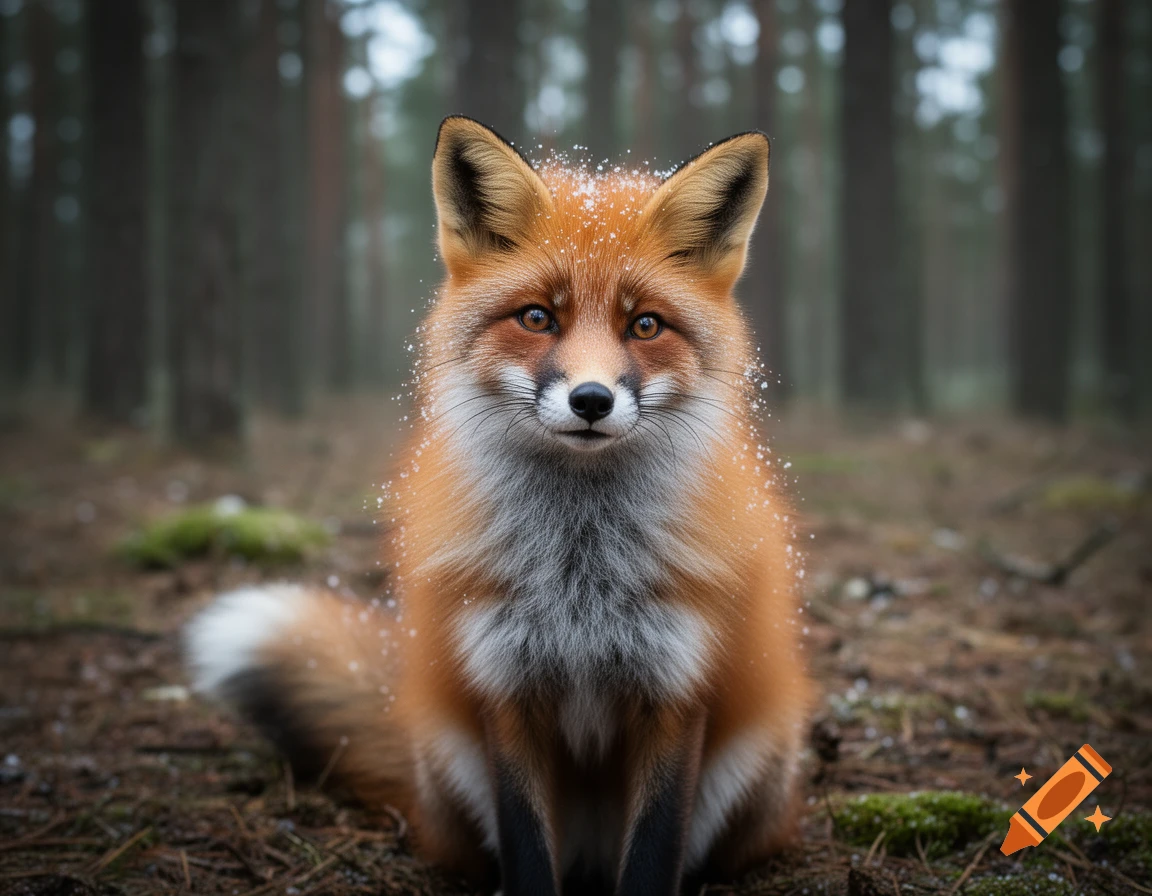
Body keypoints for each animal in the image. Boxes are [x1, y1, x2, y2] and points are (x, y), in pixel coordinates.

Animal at [185, 116, 812, 896]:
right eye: (537, 317)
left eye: (645, 326)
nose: (591, 400)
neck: (581, 573)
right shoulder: (505, 686)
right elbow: (525, 848)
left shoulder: (676, 689)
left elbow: (653, 854)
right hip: (451, 756)